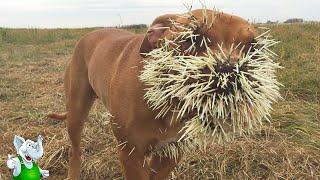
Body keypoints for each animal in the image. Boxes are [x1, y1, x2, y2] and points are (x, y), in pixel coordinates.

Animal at [48, 8, 256, 180]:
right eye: (192, 39)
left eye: (252, 48)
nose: (230, 70)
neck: (169, 103)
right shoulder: (131, 154)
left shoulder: (172, 152)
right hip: (76, 113)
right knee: (75, 150)